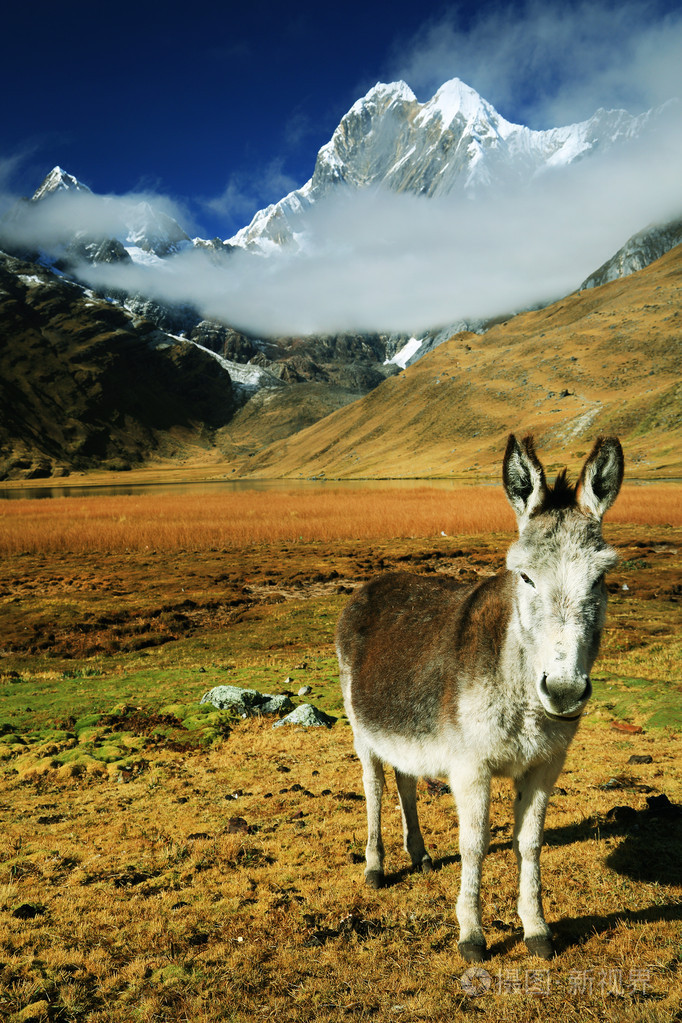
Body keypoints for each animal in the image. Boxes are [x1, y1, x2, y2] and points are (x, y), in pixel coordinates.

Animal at [336, 435, 624, 961]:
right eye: (525, 577)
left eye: (600, 579)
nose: (565, 691)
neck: (522, 698)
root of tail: (372, 584)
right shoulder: (471, 767)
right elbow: (475, 844)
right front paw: (471, 934)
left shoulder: (546, 764)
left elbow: (529, 843)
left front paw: (536, 929)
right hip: (361, 729)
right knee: (374, 787)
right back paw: (375, 867)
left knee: (405, 780)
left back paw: (420, 854)